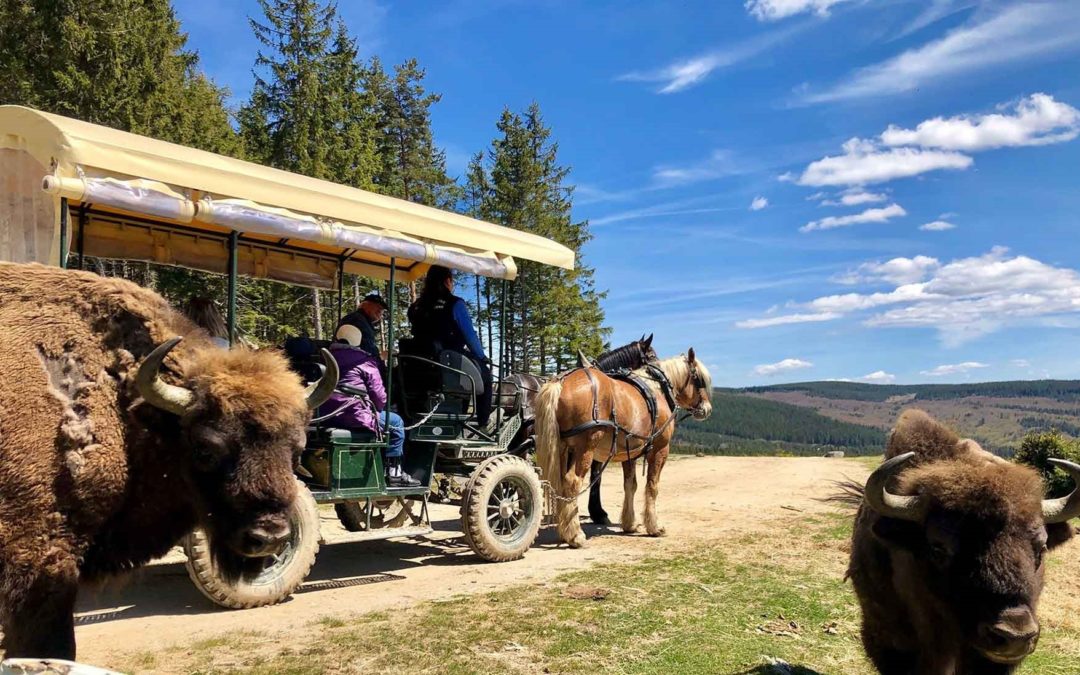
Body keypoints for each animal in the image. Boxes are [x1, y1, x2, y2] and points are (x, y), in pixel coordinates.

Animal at [531, 349, 708, 544]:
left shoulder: (629, 453)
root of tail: (560, 382)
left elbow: (630, 485)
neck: (657, 388)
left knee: (561, 483)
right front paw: (654, 527)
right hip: (585, 446)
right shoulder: (660, 449)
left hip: (563, 448)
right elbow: (652, 486)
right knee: (572, 481)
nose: (706, 408)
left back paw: (565, 532)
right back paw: (575, 535)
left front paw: (629, 523)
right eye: (699, 379)